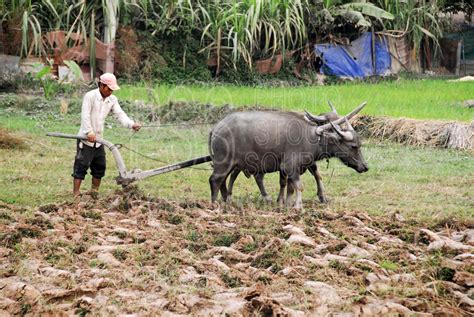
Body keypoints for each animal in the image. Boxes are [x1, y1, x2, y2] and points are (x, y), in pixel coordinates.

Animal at [209, 102, 368, 209]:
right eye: (354, 146)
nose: (365, 167)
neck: (311, 137)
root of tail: (216, 128)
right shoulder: (289, 166)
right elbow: (299, 186)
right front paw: (297, 206)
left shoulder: (296, 167)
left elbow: (292, 186)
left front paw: (287, 203)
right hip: (223, 163)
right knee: (215, 180)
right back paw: (215, 204)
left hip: (232, 164)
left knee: (224, 180)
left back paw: (226, 201)